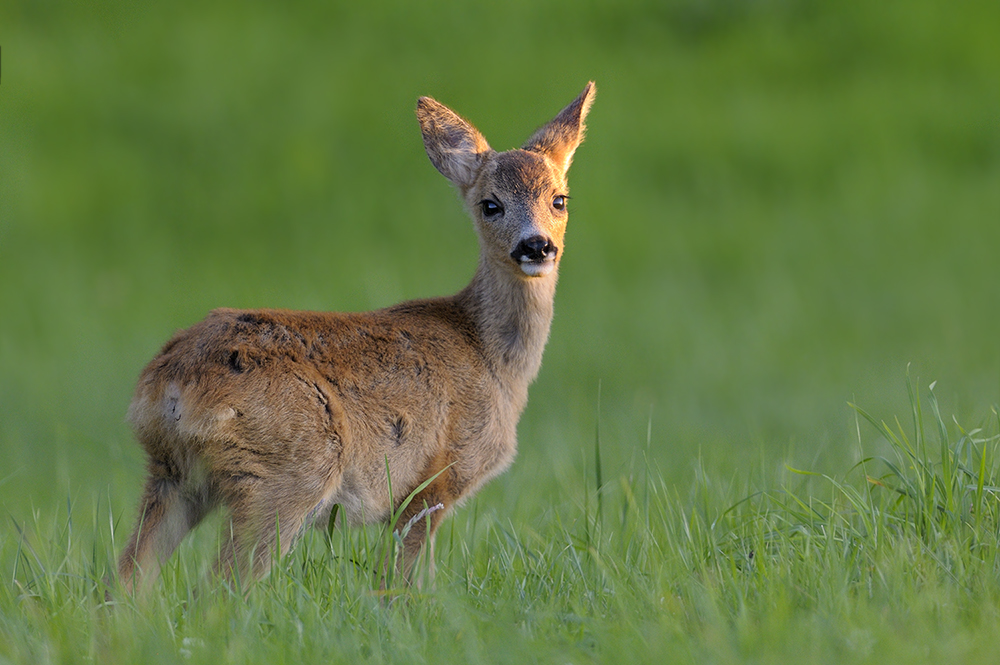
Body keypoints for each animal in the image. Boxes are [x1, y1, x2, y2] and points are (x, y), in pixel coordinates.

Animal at [117, 80, 592, 592]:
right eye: (491, 204)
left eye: (560, 199)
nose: (536, 246)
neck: (491, 357)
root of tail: (168, 388)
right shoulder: (434, 478)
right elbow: (400, 584)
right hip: (288, 469)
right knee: (219, 587)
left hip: (174, 475)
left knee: (125, 580)